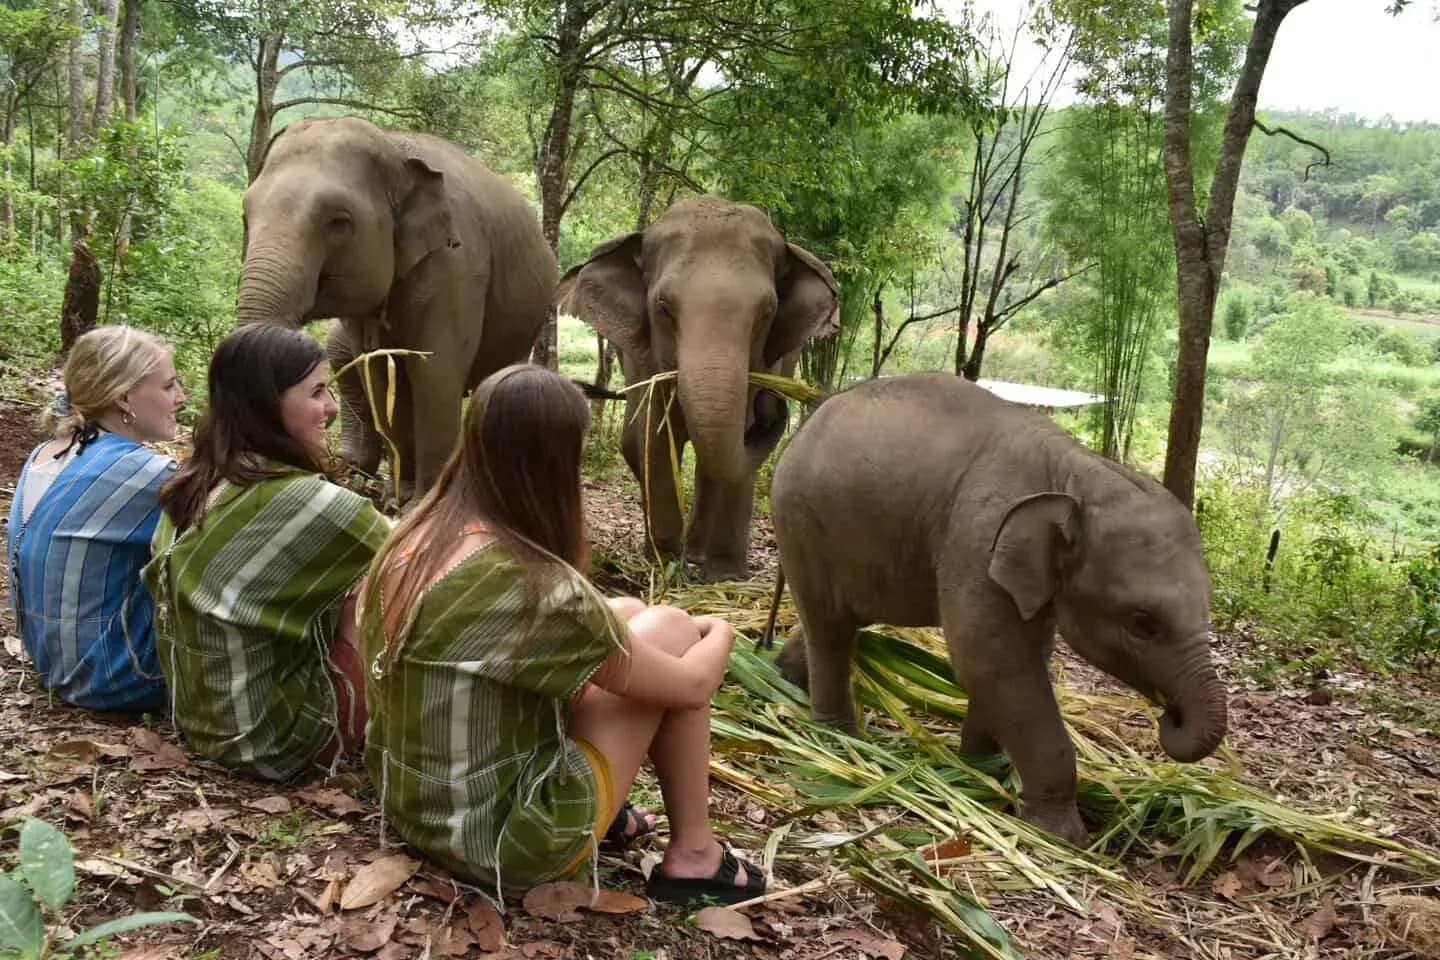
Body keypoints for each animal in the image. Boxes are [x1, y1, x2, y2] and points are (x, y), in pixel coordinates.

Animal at [236, 115, 556, 500]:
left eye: (339, 222)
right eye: (245, 215)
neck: (394, 148)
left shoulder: (458, 264)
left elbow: (434, 373)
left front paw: (423, 501)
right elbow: (380, 375)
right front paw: (398, 497)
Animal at [555, 196, 840, 581]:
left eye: (766, 313)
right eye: (664, 308)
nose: (775, 402)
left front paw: (726, 576)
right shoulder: (647, 362)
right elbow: (657, 437)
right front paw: (665, 566)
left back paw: (699, 554)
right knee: (636, 440)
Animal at [763, 372, 1227, 844]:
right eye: (1143, 622)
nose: (1168, 716)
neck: (1077, 473)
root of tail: (809, 417)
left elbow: (1013, 662)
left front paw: (980, 768)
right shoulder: (977, 542)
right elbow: (994, 663)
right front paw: (1061, 835)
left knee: (842, 620)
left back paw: (783, 678)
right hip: (801, 523)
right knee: (830, 627)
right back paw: (839, 737)